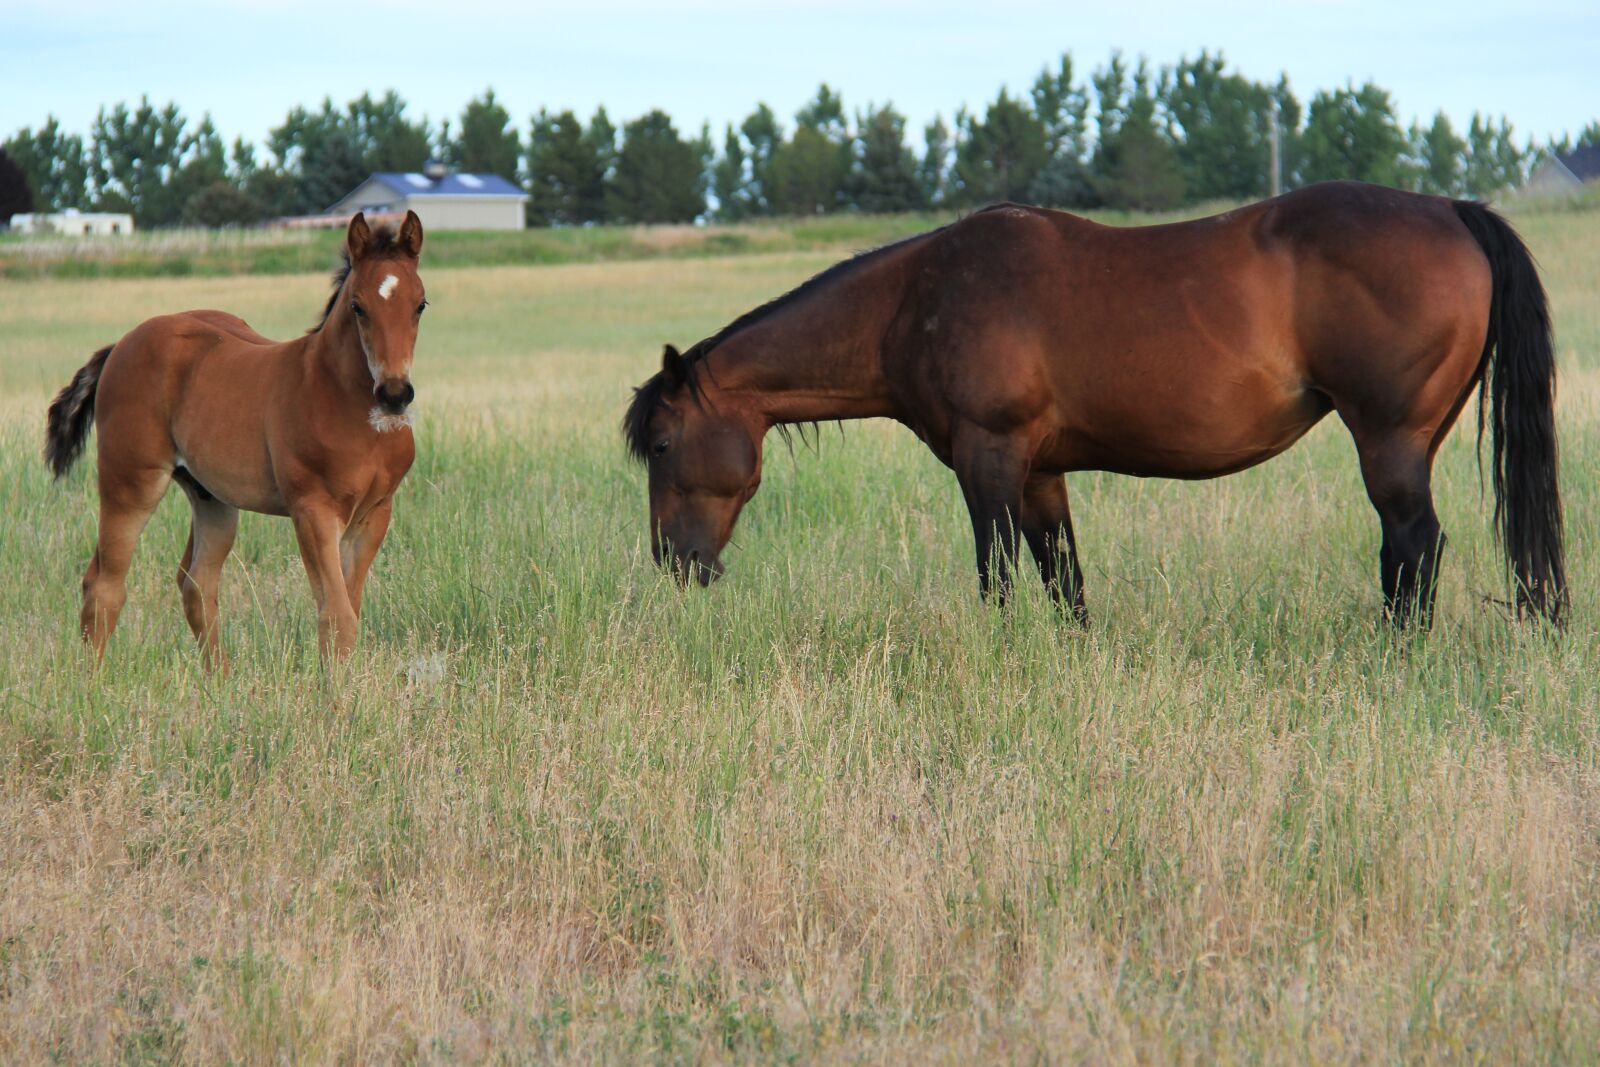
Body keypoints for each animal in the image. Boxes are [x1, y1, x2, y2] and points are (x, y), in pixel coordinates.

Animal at [46, 209, 428, 662]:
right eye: (358, 307)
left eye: (420, 305)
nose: (394, 394)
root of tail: (121, 343)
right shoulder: (312, 509)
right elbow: (336, 617)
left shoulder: (374, 514)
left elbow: (349, 609)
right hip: (131, 483)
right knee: (105, 587)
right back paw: (94, 679)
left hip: (212, 499)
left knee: (195, 583)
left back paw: (220, 679)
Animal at [624, 183, 1561, 630]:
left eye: (663, 445)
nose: (675, 563)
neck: (916, 299)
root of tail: (1451, 210)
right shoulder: (1041, 472)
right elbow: (1062, 578)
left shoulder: (989, 458)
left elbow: (1000, 575)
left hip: (1389, 439)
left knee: (1414, 545)